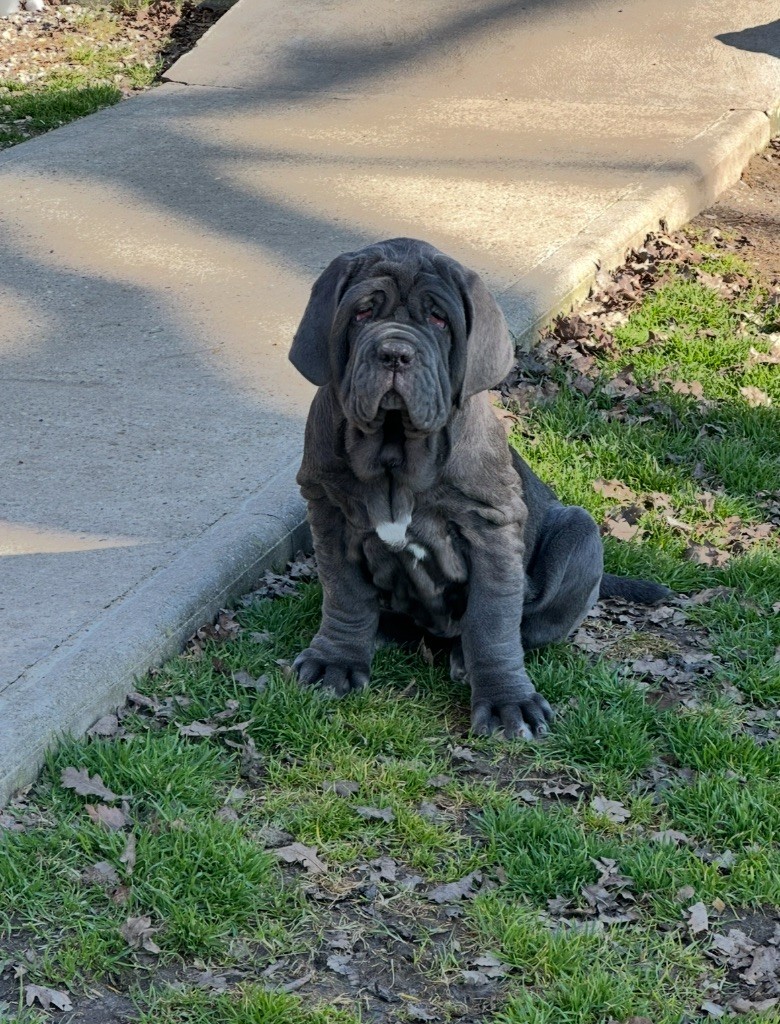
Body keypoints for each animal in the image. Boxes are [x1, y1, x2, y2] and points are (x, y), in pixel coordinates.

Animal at [288, 237, 667, 737]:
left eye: (438, 319)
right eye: (362, 313)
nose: (394, 353)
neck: (395, 454)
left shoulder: (491, 528)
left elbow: (492, 620)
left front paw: (508, 703)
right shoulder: (328, 510)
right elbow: (345, 595)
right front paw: (335, 661)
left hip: (579, 533)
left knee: (526, 622)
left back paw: (465, 658)